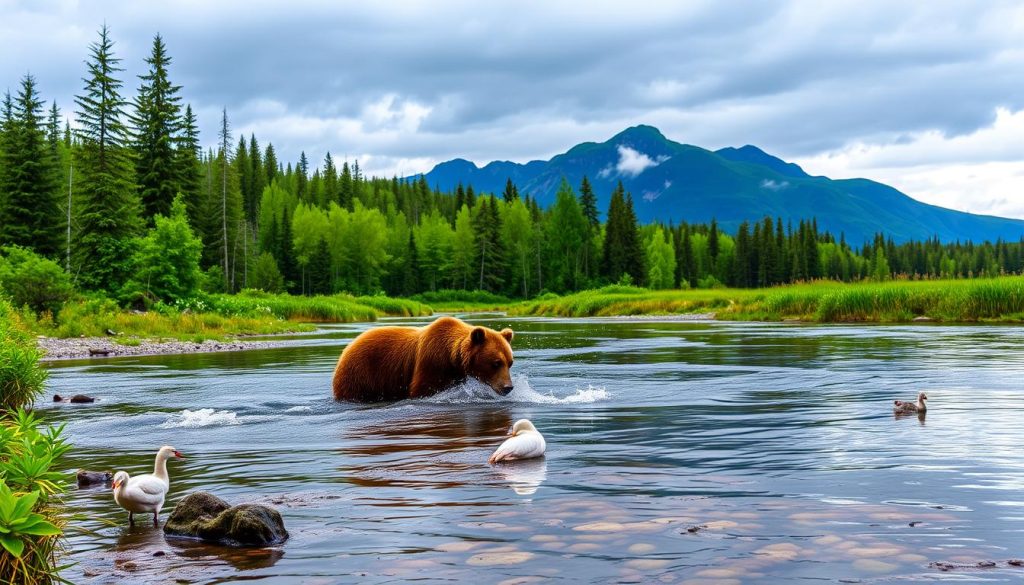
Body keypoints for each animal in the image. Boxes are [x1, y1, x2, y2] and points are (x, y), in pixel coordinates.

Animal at [332, 316, 515, 402]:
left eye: (510, 363)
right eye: (496, 363)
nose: (508, 387)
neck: (452, 357)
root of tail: (346, 349)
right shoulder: (431, 364)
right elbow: (421, 389)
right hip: (360, 374)